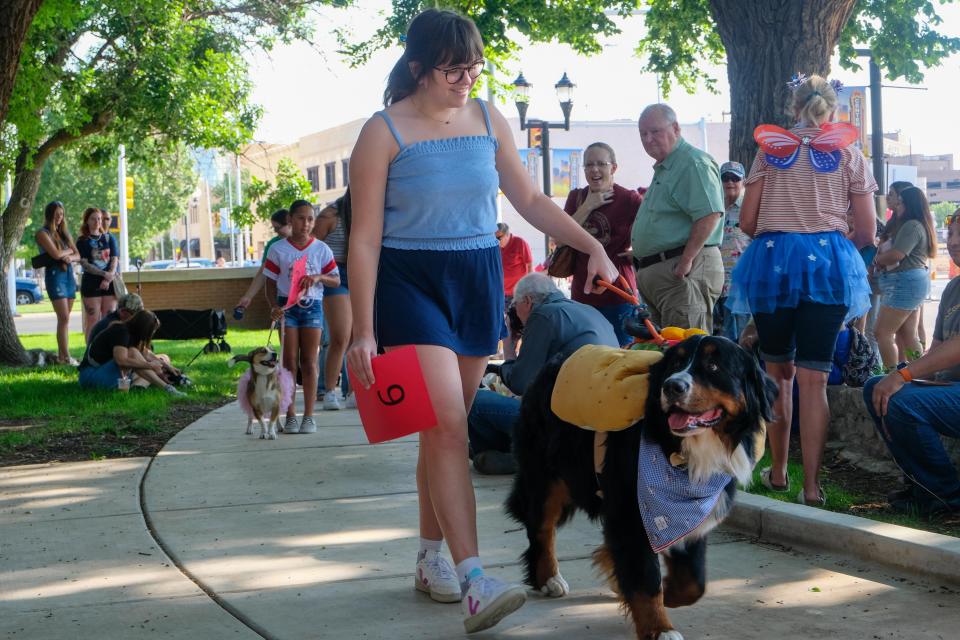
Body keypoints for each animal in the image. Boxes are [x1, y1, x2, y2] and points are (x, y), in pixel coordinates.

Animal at [506, 336, 776, 640]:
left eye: (714, 365)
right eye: (675, 364)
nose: (672, 386)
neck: (683, 452)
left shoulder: (694, 510)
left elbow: (694, 582)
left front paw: (666, 594)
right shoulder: (633, 513)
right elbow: (647, 580)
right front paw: (660, 629)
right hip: (547, 477)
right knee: (542, 528)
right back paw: (548, 578)